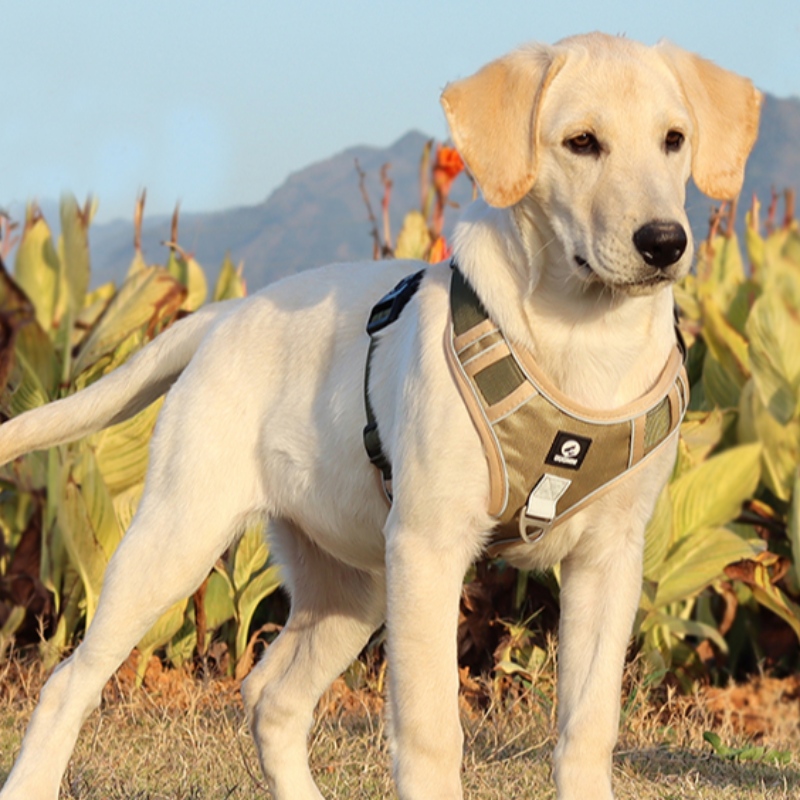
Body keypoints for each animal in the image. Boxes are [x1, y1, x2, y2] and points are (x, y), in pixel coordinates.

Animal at [0, 31, 760, 800]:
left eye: (674, 140)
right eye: (581, 142)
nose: (664, 242)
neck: (584, 342)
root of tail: (224, 312)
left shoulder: (609, 558)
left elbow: (588, 728)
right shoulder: (428, 546)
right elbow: (431, 732)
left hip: (354, 584)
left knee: (270, 697)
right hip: (176, 538)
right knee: (70, 681)